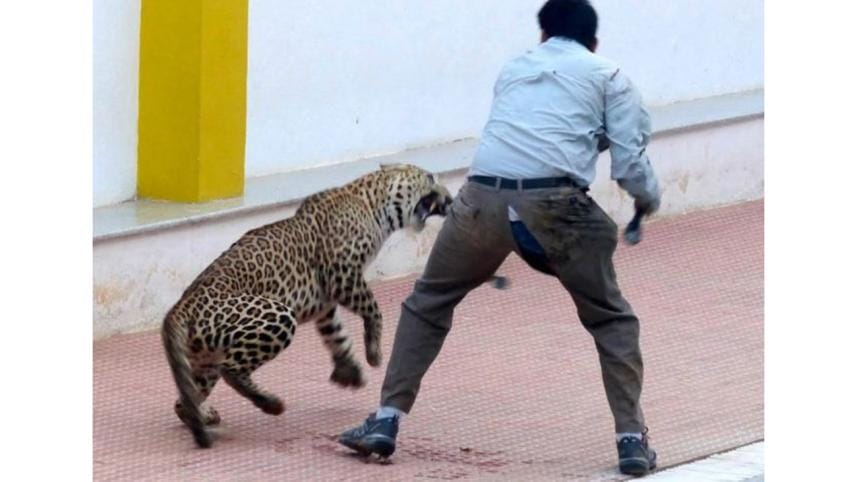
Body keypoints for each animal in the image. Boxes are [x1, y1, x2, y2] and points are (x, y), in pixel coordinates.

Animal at [162, 164, 453, 448]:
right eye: (430, 177)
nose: (450, 200)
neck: (372, 204)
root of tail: (179, 308)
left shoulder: (325, 302)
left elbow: (336, 334)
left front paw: (349, 371)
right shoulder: (343, 276)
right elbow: (373, 308)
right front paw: (374, 353)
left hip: (205, 358)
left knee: (184, 400)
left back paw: (203, 416)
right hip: (277, 316)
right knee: (231, 370)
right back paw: (271, 404)